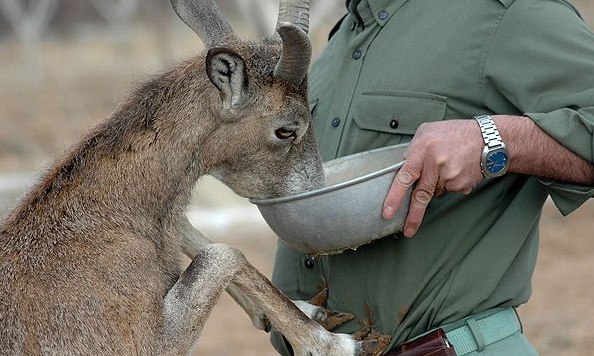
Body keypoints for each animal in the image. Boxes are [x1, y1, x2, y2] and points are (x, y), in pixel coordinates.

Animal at [0, 0, 390, 354]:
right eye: (286, 130)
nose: (314, 192)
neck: (112, 217)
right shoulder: (150, 342)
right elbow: (224, 253)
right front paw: (335, 344)